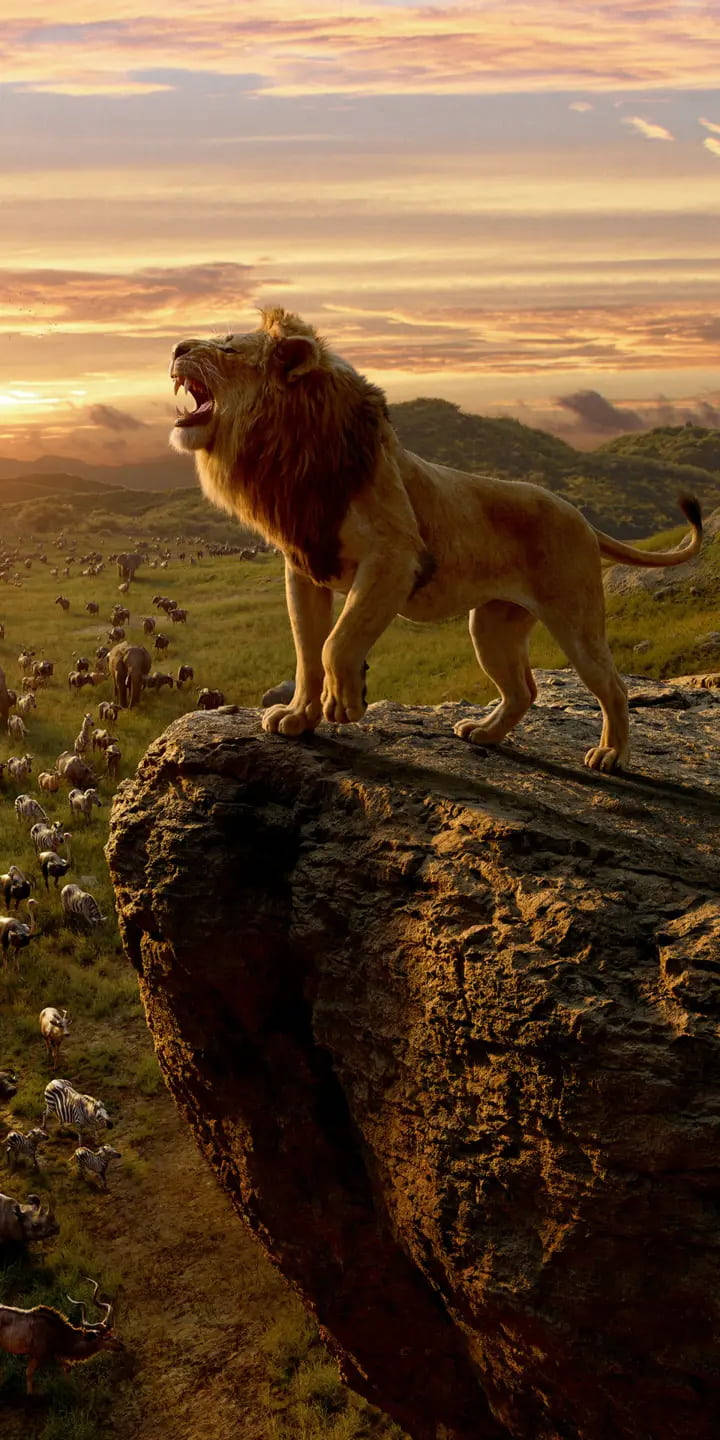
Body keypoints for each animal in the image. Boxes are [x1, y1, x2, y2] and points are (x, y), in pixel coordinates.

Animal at [169, 308, 702, 772]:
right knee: (523, 690)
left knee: (612, 685)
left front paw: (344, 703)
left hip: (575, 618)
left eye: (227, 346)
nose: (175, 347)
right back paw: (484, 734)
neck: (288, 454)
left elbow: (337, 642)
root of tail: (583, 518)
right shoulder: (304, 567)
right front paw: (299, 718)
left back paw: (611, 755)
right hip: (491, 626)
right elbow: (306, 651)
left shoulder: (395, 557)